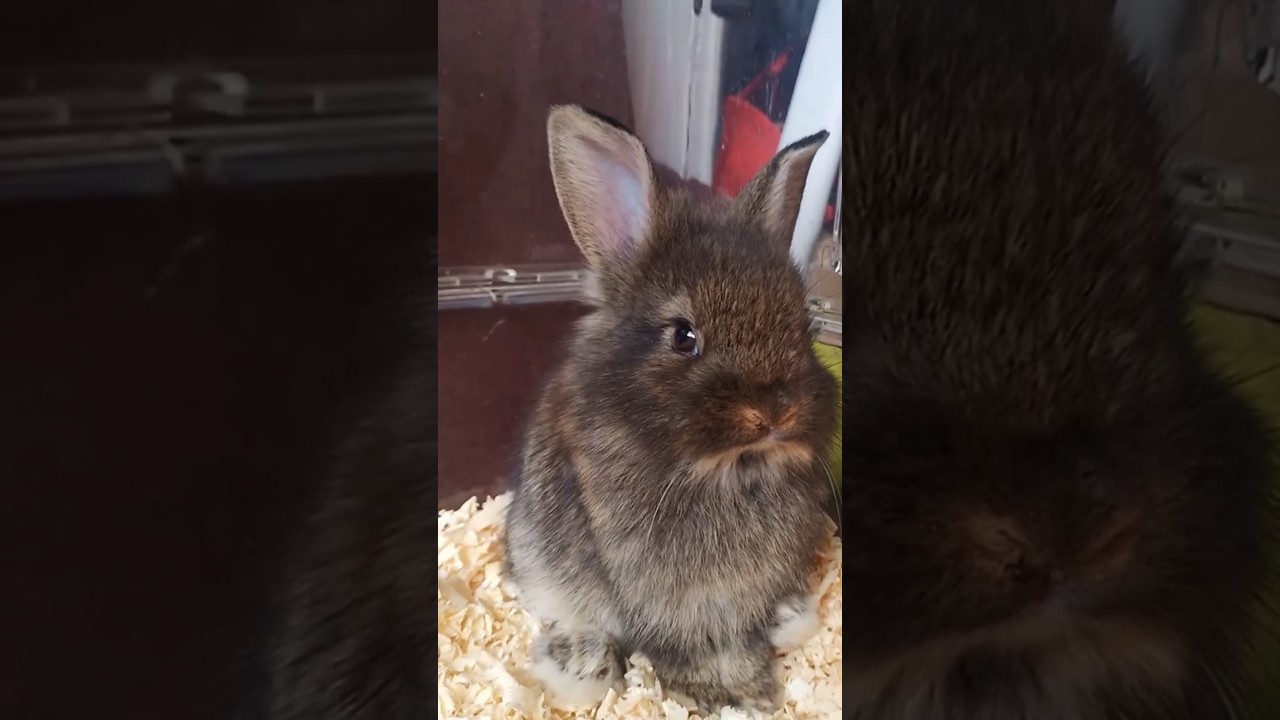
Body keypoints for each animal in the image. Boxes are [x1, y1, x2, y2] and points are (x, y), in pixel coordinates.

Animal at [502, 105, 840, 714]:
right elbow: (688, 651)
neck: (731, 470)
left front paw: (751, 694)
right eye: (684, 337)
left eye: (805, 325)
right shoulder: (668, 605)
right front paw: (723, 695)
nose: (775, 413)